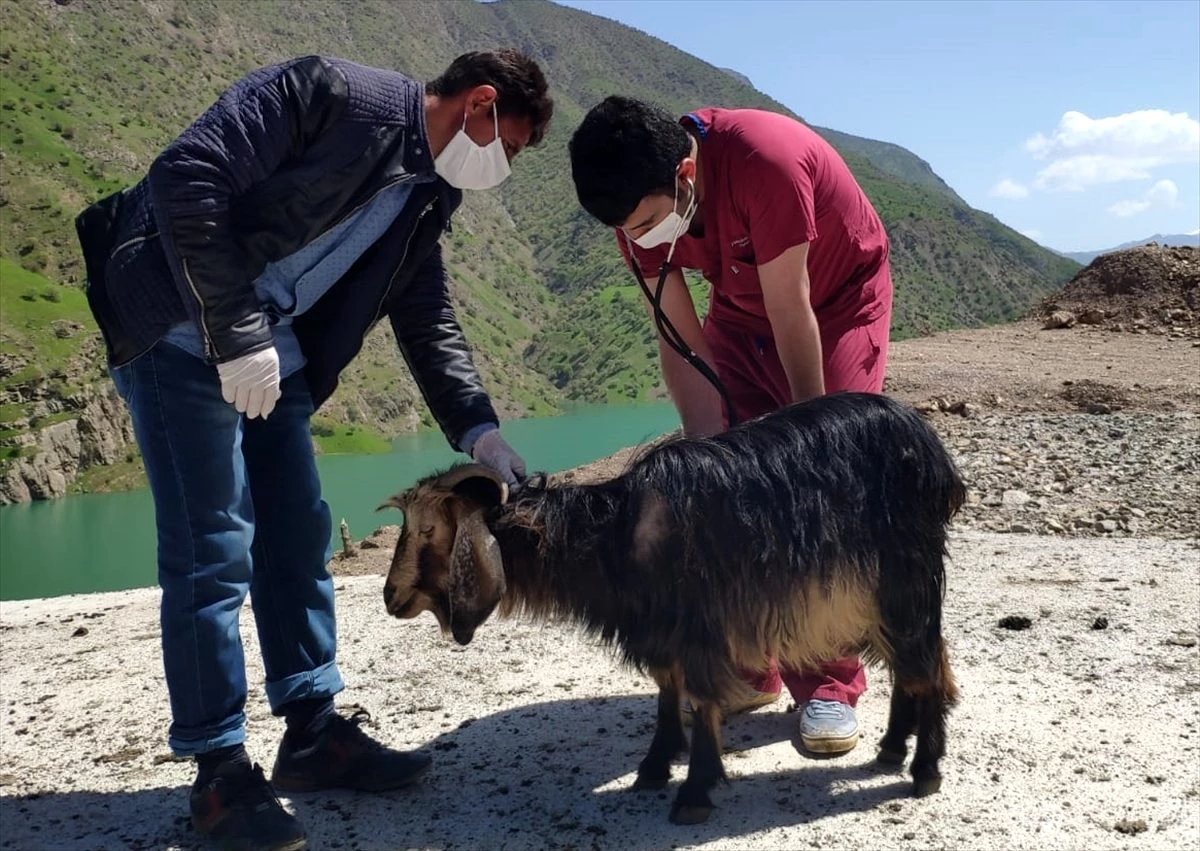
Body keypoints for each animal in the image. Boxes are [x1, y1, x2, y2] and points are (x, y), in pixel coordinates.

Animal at [384, 391, 964, 820]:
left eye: (429, 530)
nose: (391, 597)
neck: (614, 532)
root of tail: (932, 450)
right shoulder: (660, 630)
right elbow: (667, 692)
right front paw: (655, 766)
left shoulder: (699, 625)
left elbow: (703, 699)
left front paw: (693, 793)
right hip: (876, 596)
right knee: (912, 665)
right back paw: (892, 748)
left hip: (901, 581)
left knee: (928, 665)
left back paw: (925, 770)